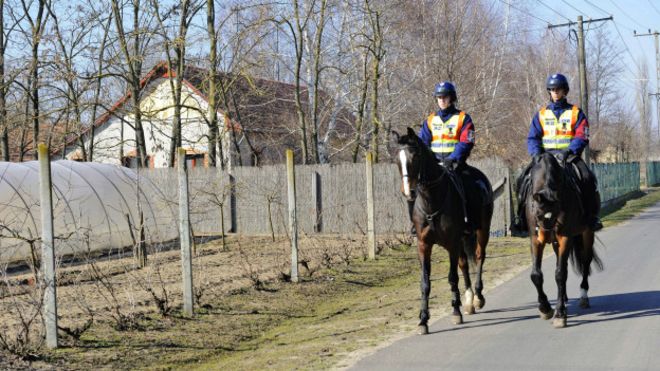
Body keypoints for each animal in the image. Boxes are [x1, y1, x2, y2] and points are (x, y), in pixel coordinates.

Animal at [392, 129, 496, 338]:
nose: (409, 191)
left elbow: (452, 277)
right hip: (463, 239)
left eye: (415, 156)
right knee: (464, 263)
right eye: (397, 159)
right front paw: (423, 320)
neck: (431, 200)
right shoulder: (424, 245)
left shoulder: (451, 244)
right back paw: (469, 300)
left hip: (482, 231)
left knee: (479, 257)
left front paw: (455, 312)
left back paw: (478, 297)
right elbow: (425, 283)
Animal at [520, 153, 604, 330]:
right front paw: (545, 308)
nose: (546, 234)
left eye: (557, 210)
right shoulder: (534, 240)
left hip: (586, 234)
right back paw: (564, 298)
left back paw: (583, 296)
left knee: (585, 262)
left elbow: (560, 274)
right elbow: (536, 274)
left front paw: (559, 314)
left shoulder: (565, 238)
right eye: (537, 214)